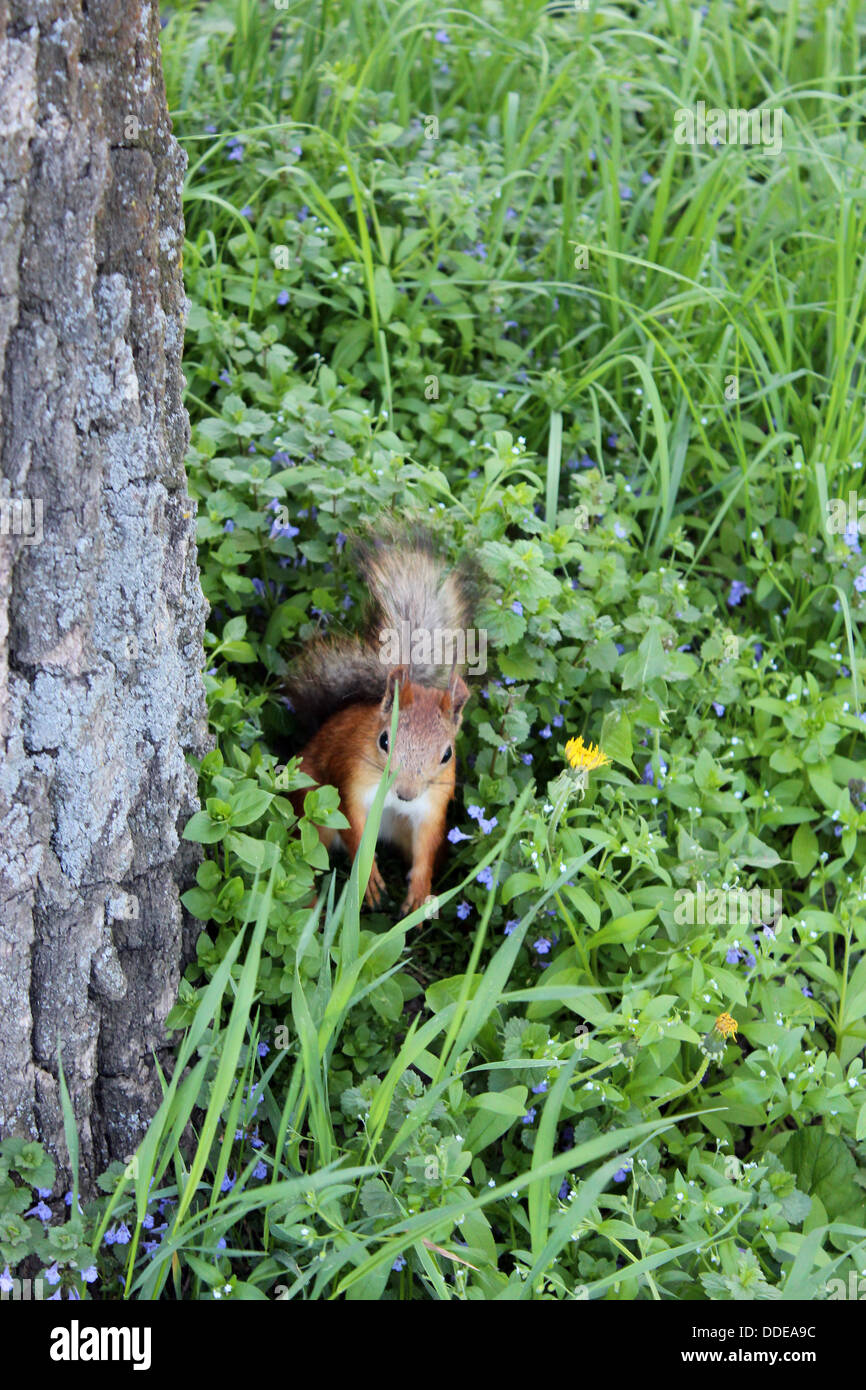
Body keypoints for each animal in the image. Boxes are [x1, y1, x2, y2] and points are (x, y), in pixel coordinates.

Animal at [286, 528, 475, 911]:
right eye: (384, 740)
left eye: (447, 754)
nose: (406, 794)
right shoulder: (350, 783)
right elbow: (354, 829)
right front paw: (369, 879)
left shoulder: (432, 806)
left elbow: (426, 848)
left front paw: (419, 894)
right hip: (312, 806)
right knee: (308, 854)